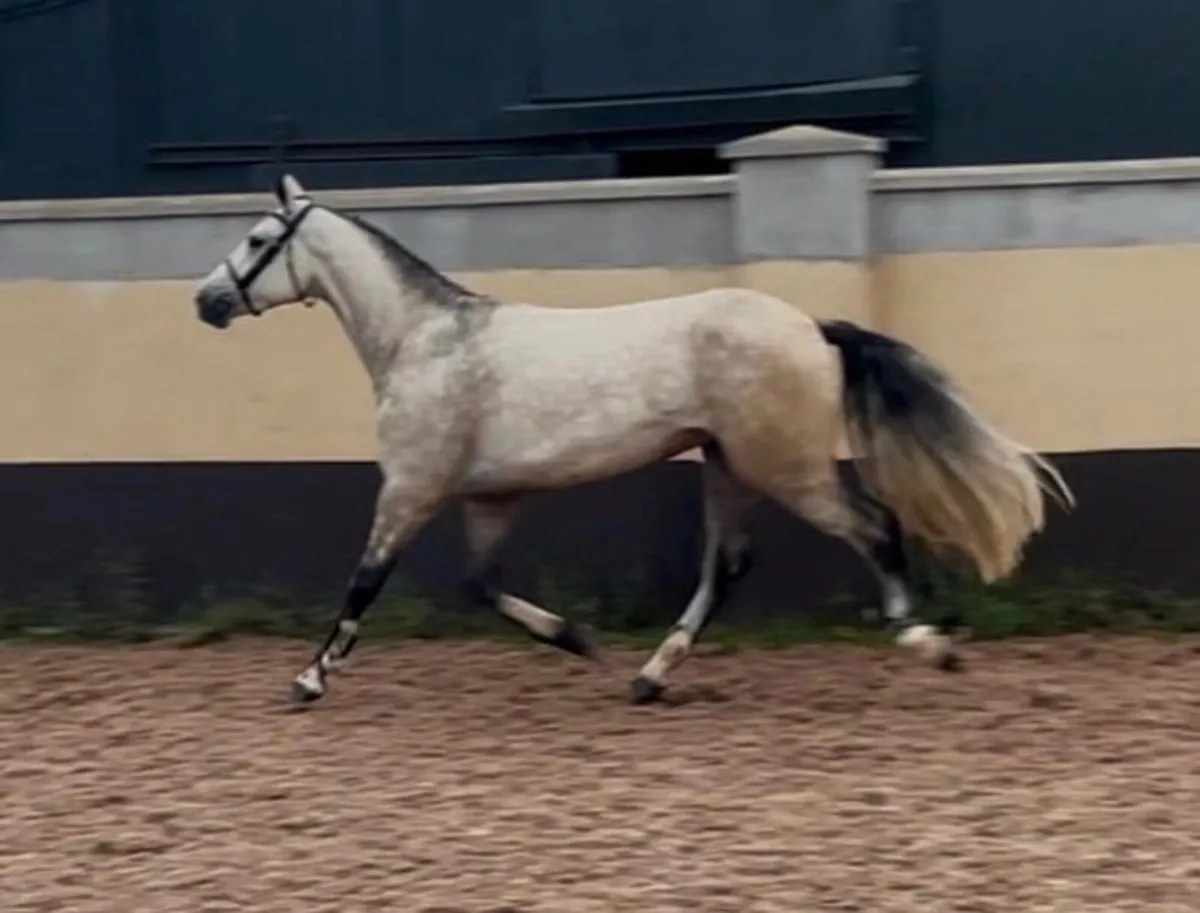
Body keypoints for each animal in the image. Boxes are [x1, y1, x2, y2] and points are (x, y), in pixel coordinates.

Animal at [193, 174, 1073, 707]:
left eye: (258, 239)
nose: (206, 301)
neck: (424, 339)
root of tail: (813, 327)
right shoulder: (489, 498)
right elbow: (480, 586)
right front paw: (579, 640)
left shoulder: (409, 487)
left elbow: (363, 584)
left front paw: (308, 680)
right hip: (727, 465)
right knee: (729, 564)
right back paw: (649, 675)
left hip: (784, 467)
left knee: (874, 527)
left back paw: (926, 641)